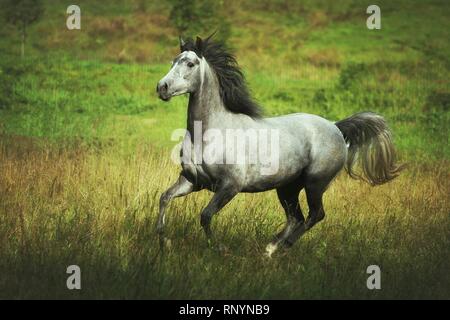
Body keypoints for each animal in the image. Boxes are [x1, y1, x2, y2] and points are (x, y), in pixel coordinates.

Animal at [156, 35, 402, 256]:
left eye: (190, 63)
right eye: (173, 61)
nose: (162, 87)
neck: (209, 134)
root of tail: (336, 127)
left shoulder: (230, 185)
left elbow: (206, 215)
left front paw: (219, 248)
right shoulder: (192, 181)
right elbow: (165, 198)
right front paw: (164, 243)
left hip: (315, 183)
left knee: (315, 215)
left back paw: (276, 248)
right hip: (288, 188)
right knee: (296, 218)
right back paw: (270, 250)